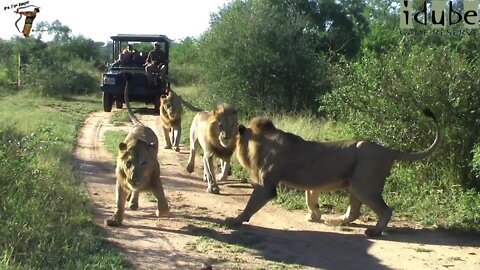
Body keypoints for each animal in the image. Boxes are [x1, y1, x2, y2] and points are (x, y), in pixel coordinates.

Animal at [106, 73, 170, 227]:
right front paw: (115, 220)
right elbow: (119, 202)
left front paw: (160, 211)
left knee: (138, 191)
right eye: (128, 163)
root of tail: (140, 124)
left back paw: (134, 202)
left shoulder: (155, 178)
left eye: (144, 163)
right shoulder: (121, 181)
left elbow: (163, 203)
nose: (134, 179)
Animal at [227, 109, 440, 236]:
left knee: (386, 209)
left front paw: (235, 220)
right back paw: (335, 221)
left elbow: (250, 205)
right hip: (355, 186)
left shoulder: (266, 186)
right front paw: (314, 216)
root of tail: (387, 150)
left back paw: (374, 231)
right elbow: (310, 200)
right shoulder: (312, 183)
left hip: (365, 187)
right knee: (354, 212)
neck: (262, 142)